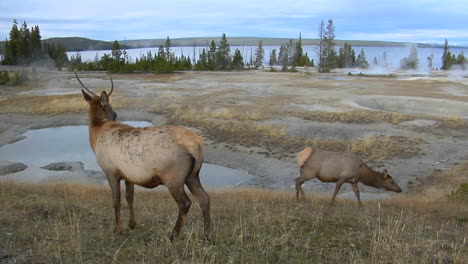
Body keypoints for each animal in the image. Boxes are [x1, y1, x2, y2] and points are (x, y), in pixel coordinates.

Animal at [76, 71, 211, 240]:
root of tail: (197, 144)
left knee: (185, 203)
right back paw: (207, 236)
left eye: (112, 107)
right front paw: (132, 224)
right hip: (192, 175)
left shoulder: (110, 171)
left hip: (173, 177)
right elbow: (129, 196)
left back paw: (172, 236)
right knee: (204, 198)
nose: (115, 114)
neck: (96, 134)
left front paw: (118, 229)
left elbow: (116, 200)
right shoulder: (128, 174)